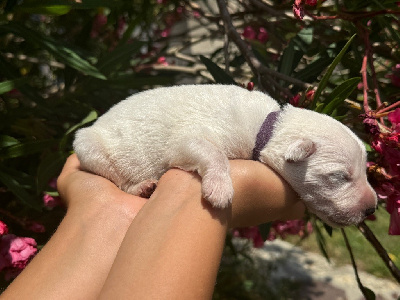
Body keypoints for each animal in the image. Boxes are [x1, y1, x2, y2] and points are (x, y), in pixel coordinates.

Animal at [73, 84, 376, 225]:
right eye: (339, 176)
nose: (373, 209)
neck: (268, 127)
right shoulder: (188, 138)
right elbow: (212, 152)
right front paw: (219, 189)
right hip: (89, 147)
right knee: (119, 179)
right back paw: (141, 186)